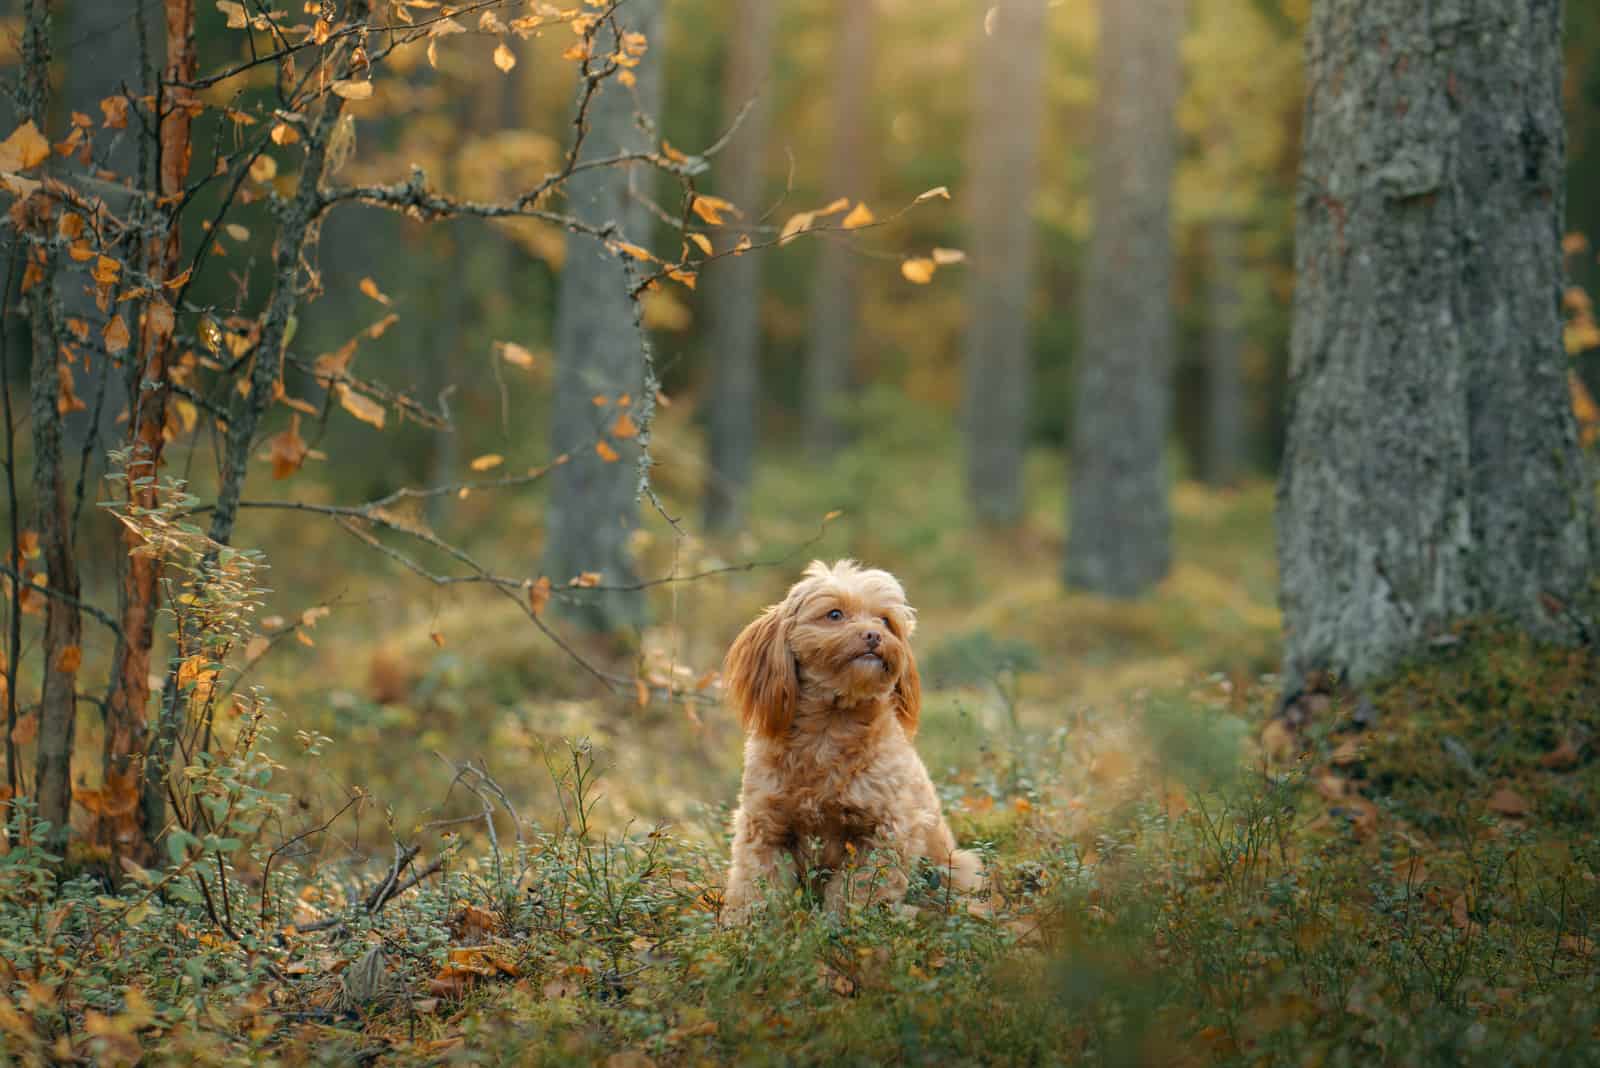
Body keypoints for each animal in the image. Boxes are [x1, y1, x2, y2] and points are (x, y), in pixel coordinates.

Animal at [720, 559, 979, 920]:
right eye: (834, 614)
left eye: (885, 620)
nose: (874, 635)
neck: (829, 729)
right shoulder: (765, 826)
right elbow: (755, 886)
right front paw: (747, 925)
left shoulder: (883, 831)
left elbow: (856, 892)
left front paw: (843, 927)